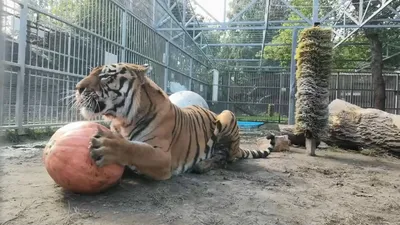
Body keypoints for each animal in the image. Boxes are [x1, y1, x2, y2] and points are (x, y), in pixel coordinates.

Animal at [74, 62, 276, 180]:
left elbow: (136, 149)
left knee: (225, 158)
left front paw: (107, 146)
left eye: (106, 76)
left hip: (227, 115)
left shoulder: (163, 157)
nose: (77, 87)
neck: (122, 121)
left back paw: (202, 165)